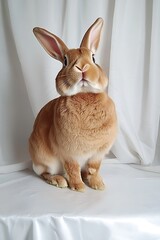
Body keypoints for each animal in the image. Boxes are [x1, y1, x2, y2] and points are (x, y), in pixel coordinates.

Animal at [28, 17, 117, 192]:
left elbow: (94, 168)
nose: (82, 67)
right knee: (44, 173)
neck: (84, 94)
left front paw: (98, 185)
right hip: (47, 161)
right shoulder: (69, 154)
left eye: (93, 58)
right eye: (65, 61)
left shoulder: (97, 154)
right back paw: (59, 181)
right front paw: (79, 187)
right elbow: (72, 169)